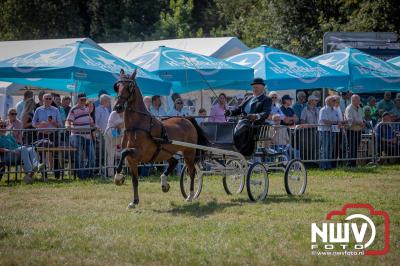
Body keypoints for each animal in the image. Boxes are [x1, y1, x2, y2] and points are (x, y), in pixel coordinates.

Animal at [112, 69, 208, 209]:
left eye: (130, 87)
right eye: (117, 86)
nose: (118, 107)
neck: (137, 125)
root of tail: (186, 119)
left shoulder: (140, 153)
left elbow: (124, 152)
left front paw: (118, 177)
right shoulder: (132, 160)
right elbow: (135, 180)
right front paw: (134, 202)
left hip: (189, 153)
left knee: (191, 172)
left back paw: (190, 196)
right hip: (165, 152)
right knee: (174, 162)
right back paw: (164, 183)